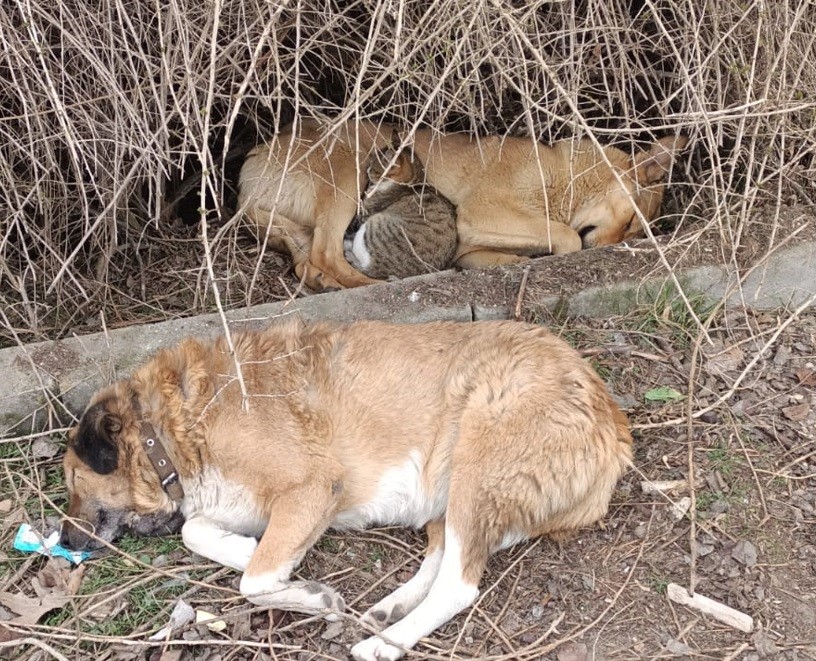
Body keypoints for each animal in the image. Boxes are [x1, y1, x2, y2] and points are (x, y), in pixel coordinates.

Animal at [60, 318, 632, 660]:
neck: (170, 427)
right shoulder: (249, 501)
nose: (62, 543)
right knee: (442, 558)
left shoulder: (313, 489)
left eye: (70, 481)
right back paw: (387, 611)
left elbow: (254, 580)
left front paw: (306, 591)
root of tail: (613, 419)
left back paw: (387, 642)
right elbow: (197, 531)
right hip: (453, 492)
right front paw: (242, 549)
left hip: (478, 461)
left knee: (459, 584)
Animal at [342, 142, 460, 278]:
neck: (411, 183)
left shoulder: (364, 214)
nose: (367, 170)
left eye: (373, 169)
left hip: (374, 223)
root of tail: (378, 269)